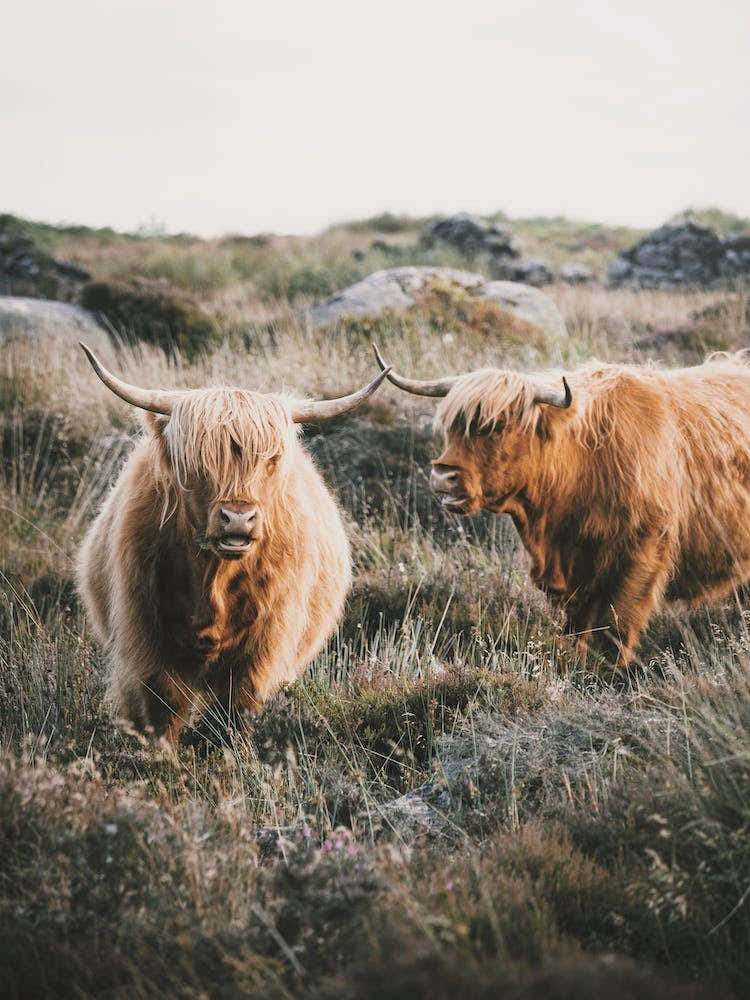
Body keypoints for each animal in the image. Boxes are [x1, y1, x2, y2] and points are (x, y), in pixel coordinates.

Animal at [76, 344, 390, 743]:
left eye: (271, 460)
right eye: (198, 462)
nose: (238, 518)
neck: (214, 578)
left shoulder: (261, 651)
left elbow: (234, 710)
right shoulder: (145, 638)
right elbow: (161, 709)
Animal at [373, 344, 750, 666]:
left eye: (497, 426)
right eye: (451, 427)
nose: (442, 476)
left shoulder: (642, 550)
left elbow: (616, 625)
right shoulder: (574, 568)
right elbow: (577, 626)